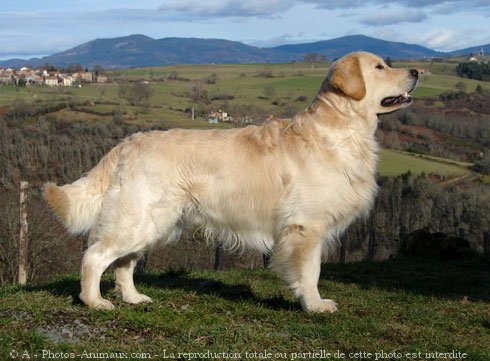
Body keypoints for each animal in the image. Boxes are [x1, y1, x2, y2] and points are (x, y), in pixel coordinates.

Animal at [44, 52, 418, 310]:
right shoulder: (306, 226)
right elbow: (311, 271)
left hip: (154, 223)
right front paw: (314, 305)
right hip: (137, 220)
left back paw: (134, 298)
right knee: (94, 257)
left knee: (124, 264)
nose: (416, 71)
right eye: (379, 68)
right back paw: (94, 301)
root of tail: (128, 141)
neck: (340, 129)